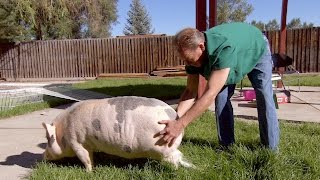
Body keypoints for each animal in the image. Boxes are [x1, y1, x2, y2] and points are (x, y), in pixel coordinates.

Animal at [42, 95, 192, 170]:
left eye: (48, 140)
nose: (43, 157)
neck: (63, 133)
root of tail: (174, 116)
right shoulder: (87, 143)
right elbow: (90, 156)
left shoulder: (77, 141)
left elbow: (85, 157)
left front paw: (88, 172)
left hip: (163, 146)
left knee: (176, 157)